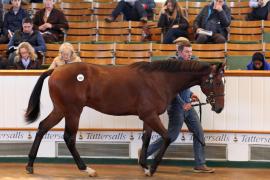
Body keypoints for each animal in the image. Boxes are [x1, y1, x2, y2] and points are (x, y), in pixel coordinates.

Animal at [25, 59, 225, 176]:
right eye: (216, 82)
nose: (220, 108)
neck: (160, 79)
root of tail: (55, 71)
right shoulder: (150, 115)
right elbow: (167, 137)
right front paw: (152, 168)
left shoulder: (148, 117)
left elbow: (146, 139)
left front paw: (144, 165)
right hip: (73, 111)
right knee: (69, 137)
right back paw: (87, 169)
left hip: (61, 110)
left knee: (42, 127)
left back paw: (30, 165)